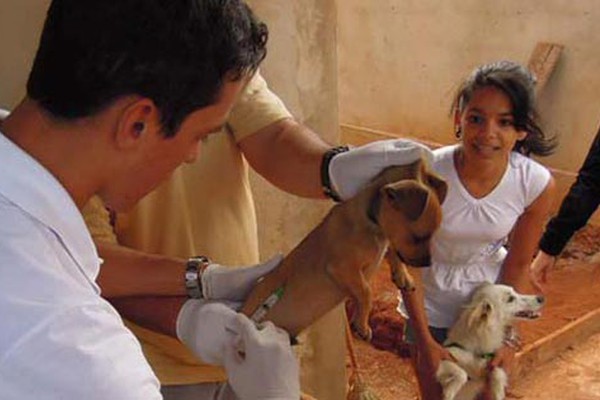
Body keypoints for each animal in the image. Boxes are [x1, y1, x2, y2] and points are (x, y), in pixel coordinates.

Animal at [239, 158, 446, 340]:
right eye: (419, 237)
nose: (428, 263)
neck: (373, 223)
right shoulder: (343, 267)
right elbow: (366, 293)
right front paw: (362, 325)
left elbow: (391, 255)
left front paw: (402, 276)